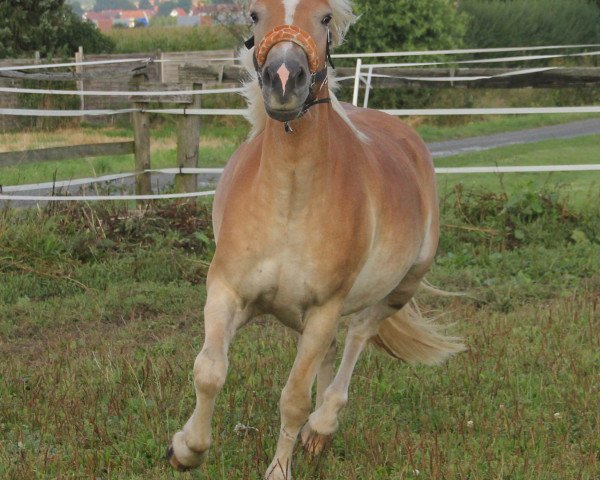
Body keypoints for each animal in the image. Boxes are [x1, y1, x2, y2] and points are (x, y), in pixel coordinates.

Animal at [168, 1, 464, 478]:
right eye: (254, 14)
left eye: (325, 17)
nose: (284, 78)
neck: (289, 201)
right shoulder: (228, 291)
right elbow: (209, 370)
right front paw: (185, 449)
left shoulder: (325, 308)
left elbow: (293, 398)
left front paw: (278, 469)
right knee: (330, 353)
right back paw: (316, 438)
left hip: (401, 285)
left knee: (357, 337)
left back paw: (322, 426)